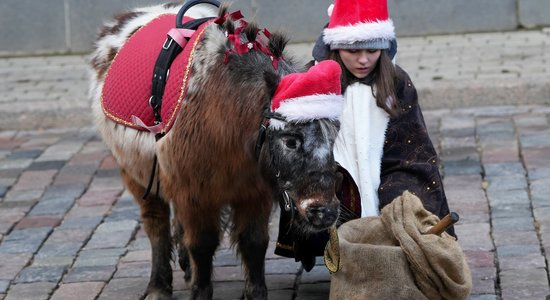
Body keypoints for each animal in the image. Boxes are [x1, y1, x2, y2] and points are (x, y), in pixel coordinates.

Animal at [89, 2, 340, 300]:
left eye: (335, 135)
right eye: (290, 140)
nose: (325, 211)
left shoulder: (253, 193)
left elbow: (254, 243)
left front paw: (255, 293)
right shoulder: (194, 193)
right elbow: (202, 244)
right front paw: (200, 290)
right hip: (137, 177)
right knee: (156, 224)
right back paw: (159, 286)